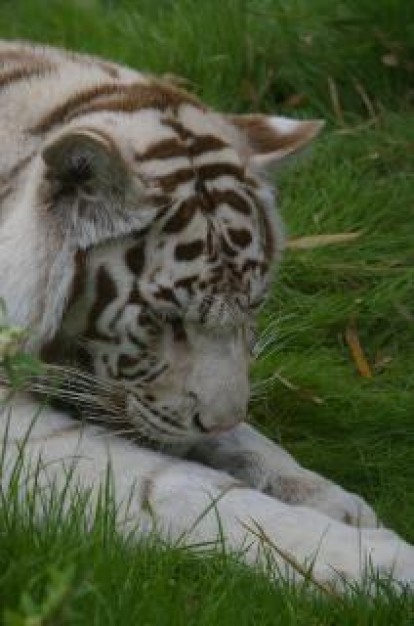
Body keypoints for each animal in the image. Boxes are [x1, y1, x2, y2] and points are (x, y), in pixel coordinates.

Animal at [0, 40, 414, 588]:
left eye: (255, 304)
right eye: (164, 319)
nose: (215, 422)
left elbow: (249, 441)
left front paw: (333, 499)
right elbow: (179, 488)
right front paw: (378, 565)